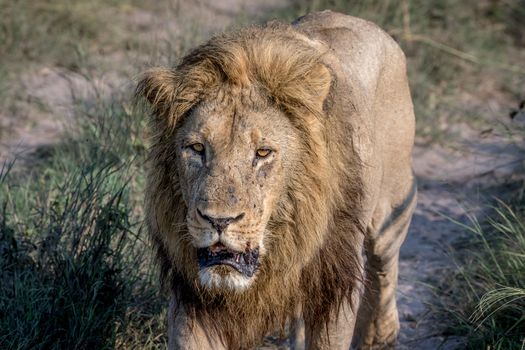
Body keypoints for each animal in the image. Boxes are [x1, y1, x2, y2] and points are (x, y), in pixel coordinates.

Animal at [137, 10, 416, 350]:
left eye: (263, 152)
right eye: (197, 148)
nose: (218, 221)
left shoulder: (334, 284)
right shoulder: (193, 296)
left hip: (392, 205)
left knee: (384, 262)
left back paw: (380, 335)